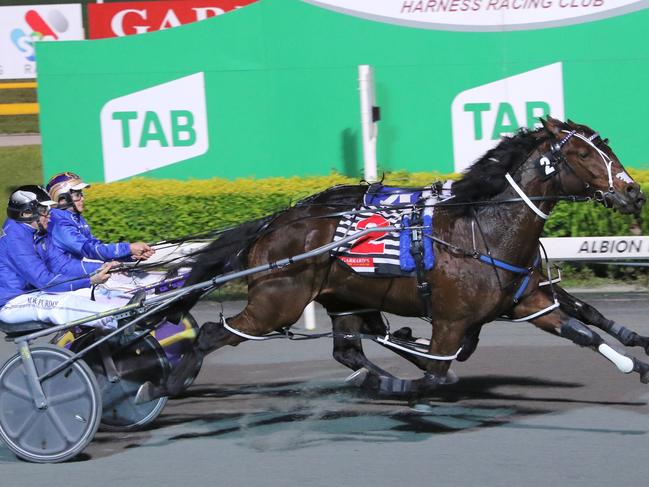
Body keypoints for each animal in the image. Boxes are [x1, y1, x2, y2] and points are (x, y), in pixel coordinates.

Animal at [135, 116, 644, 402]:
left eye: (607, 145)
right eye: (582, 153)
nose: (634, 191)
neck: (481, 228)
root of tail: (272, 225)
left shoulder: (526, 298)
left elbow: (580, 325)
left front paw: (635, 359)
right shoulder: (453, 321)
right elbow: (436, 373)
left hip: (344, 298)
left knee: (347, 350)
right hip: (276, 303)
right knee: (213, 333)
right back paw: (164, 385)